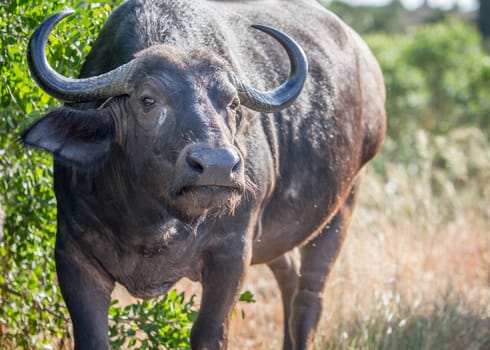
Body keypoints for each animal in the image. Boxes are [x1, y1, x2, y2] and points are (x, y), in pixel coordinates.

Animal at [22, 1, 382, 348]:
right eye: (148, 100)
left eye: (233, 103)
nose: (218, 165)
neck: (151, 221)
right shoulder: (72, 255)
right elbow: (92, 337)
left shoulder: (233, 252)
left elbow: (209, 334)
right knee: (290, 279)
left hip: (341, 208)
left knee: (308, 301)